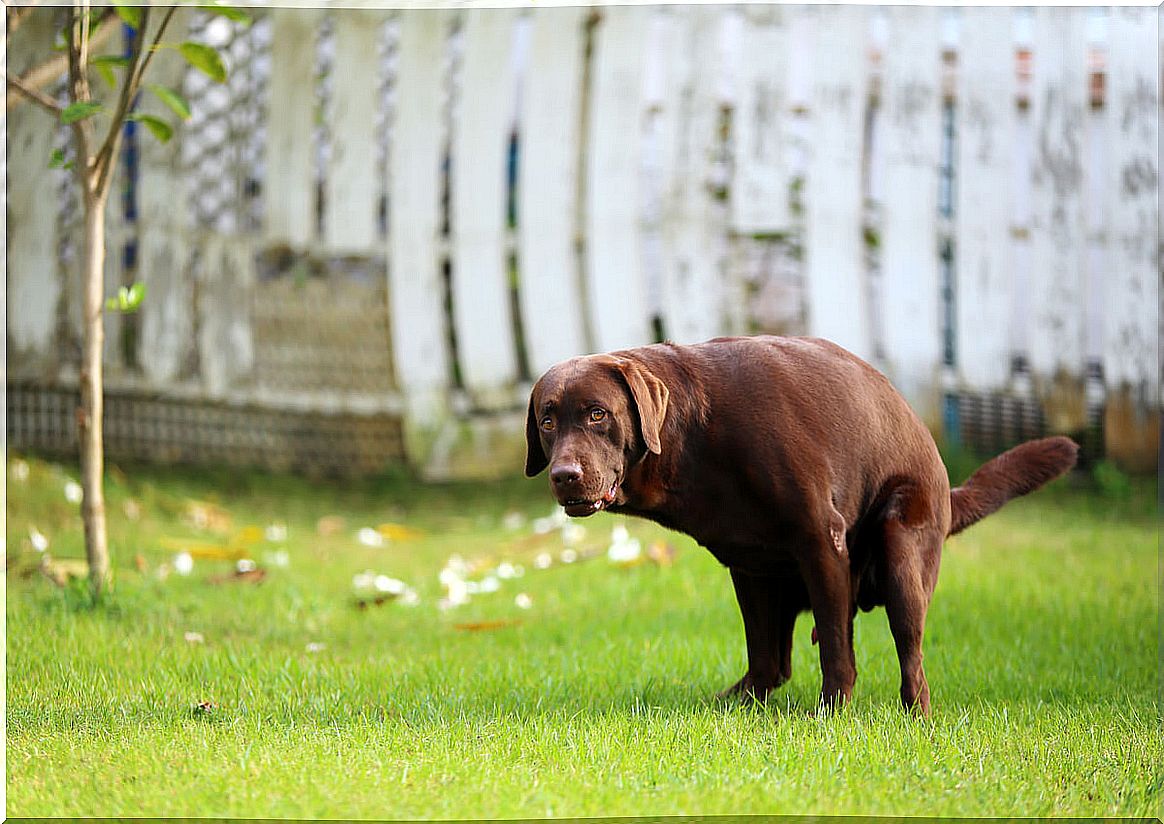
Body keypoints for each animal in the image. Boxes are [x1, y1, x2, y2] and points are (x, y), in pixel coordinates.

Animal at [523, 337, 1075, 712]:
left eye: (598, 414)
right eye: (547, 420)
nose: (564, 476)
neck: (695, 433)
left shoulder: (821, 541)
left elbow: (835, 644)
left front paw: (833, 713)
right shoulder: (747, 566)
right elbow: (766, 651)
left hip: (902, 547)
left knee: (910, 656)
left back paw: (916, 716)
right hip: (776, 578)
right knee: (778, 663)